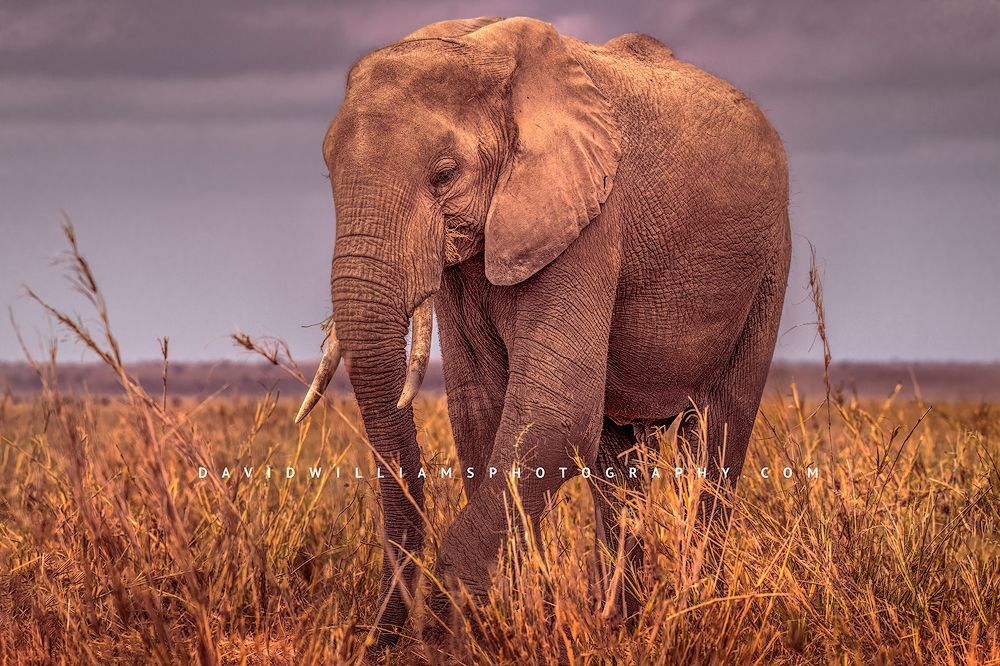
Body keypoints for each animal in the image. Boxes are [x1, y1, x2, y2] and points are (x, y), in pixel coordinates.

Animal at [294, 16, 790, 647]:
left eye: (444, 175)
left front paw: (447, 641)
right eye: (328, 172)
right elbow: (482, 411)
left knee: (719, 434)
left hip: (770, 260)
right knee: (617, 461)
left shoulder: (592, 215)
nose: (377, 643)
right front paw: (502, 622)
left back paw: (696, 612)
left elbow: (554, 412)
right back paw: (620, 626)